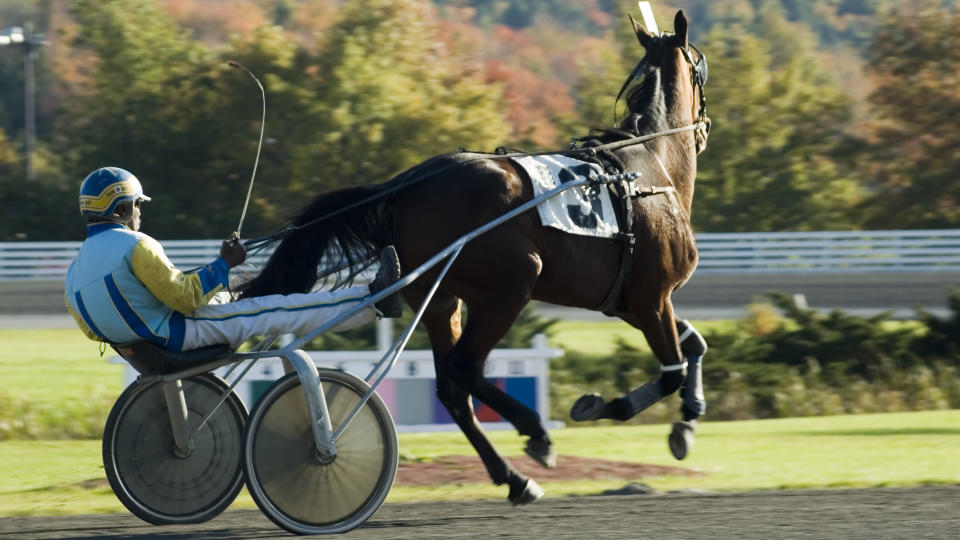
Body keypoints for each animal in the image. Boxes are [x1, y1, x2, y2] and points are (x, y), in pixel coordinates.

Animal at [244, 10, 712, 504]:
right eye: (700, 68)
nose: (704, 128)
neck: (650, 167)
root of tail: (406, 184)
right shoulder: (652, 296)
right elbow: (672, 370)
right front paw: (608, 404)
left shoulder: (626, 302)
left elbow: (694, 344)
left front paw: (688, 420)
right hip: (507, 287)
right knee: (465, 367)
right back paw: (535, 433)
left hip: (438, 298)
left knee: (452, 390)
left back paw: (515, 478)